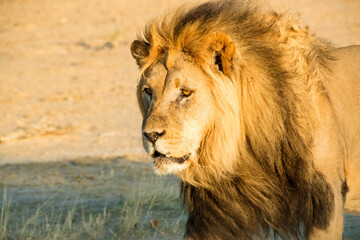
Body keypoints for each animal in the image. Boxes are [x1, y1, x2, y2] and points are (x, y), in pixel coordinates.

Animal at [130, 0, 360, 239]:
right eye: (148, 91)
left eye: (185, 93)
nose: (151, 135)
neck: (243, 154)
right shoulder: (215, 215)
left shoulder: (325, 205)